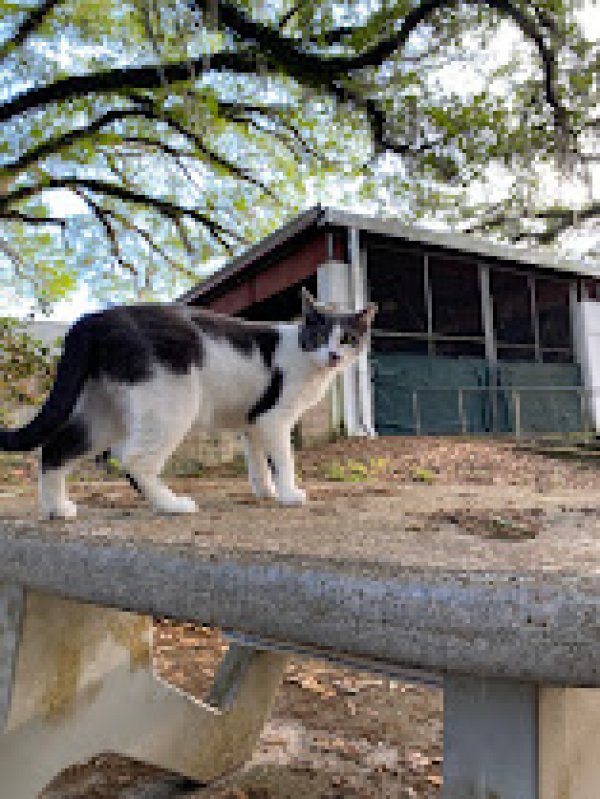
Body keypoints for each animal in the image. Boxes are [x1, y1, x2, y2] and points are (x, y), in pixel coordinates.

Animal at [0, 290, 376, 520]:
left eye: (348, 338)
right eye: (319, 336)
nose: (334, 355)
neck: (304, 355)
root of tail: (94, 319)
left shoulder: (252, 423)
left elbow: (257, 463)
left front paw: (266, 492)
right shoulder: (275, 419)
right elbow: (284, 459)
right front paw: (289, 494)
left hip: (103, 414)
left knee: (54, 450)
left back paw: (56, 510)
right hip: (171, 405)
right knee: (134, 459)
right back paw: (170, 505)